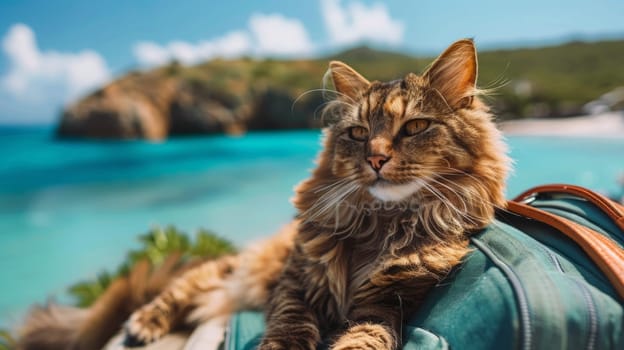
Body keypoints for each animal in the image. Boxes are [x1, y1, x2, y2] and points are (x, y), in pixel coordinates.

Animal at [17, 39, 510, 350]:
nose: (375, 158)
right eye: (357, 133)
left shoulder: (389, 304)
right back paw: (143, 323)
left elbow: (365, 339)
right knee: (181, 287)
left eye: (414, 127)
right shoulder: (295, 281)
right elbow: (289, 324)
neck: (381, 225)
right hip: (233, 270)